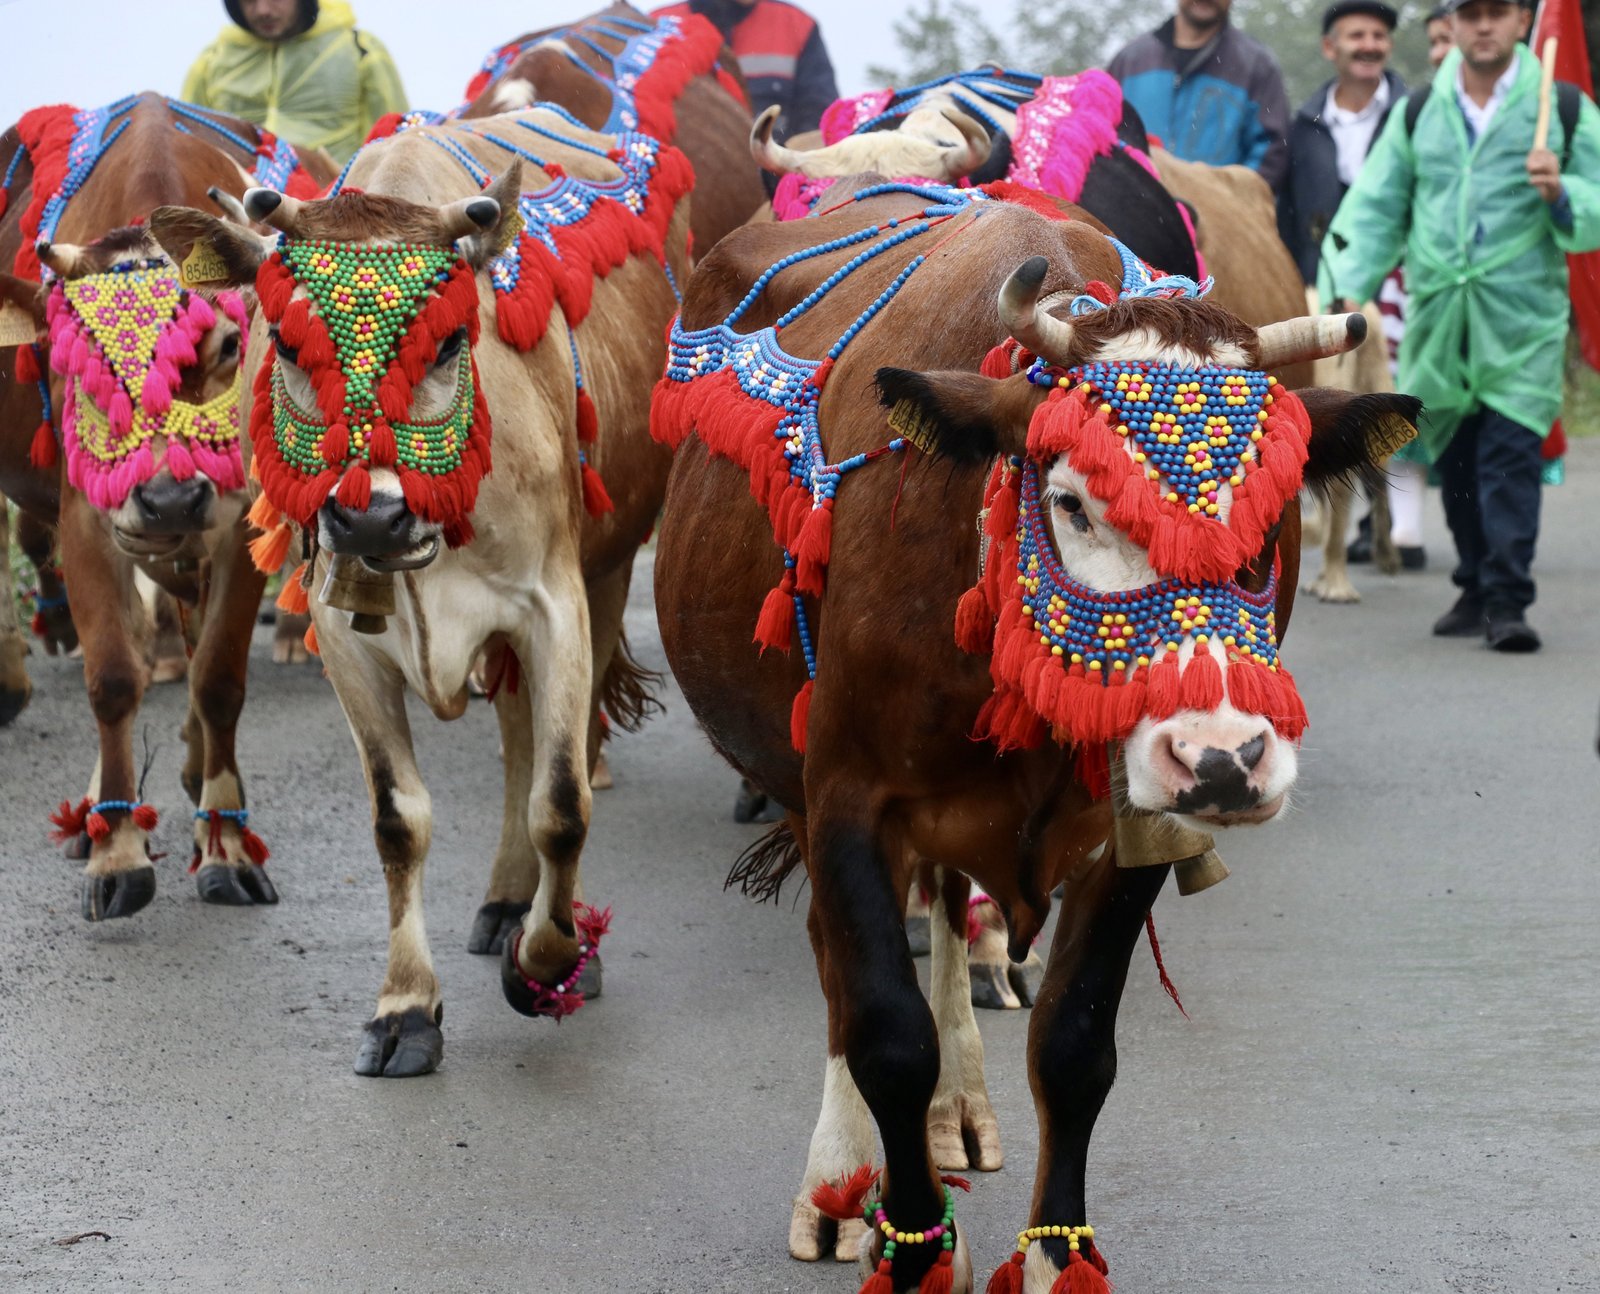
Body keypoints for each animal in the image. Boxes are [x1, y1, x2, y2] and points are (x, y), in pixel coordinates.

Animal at [0, 90, 331, 914]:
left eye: (224, 348)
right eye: (79, 357)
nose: (169, 498)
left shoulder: (237, 529)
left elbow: (218, 678)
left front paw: (225, 846)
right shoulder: (89, 522)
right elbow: (115, 676)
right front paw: (116, 854)